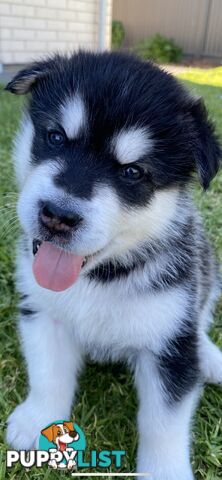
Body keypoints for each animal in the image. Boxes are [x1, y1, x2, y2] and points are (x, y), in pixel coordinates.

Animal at [4, 50, 222, 478]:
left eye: (132, 172)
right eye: (56, 137)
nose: (57, 216)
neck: (100, 278)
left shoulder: (169, 344)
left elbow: (163, 423)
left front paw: (165, 471)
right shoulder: (42, 309)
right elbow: (48, 372)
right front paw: (37, 420)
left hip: (207, 268)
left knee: (201, 317)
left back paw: (211, 357)